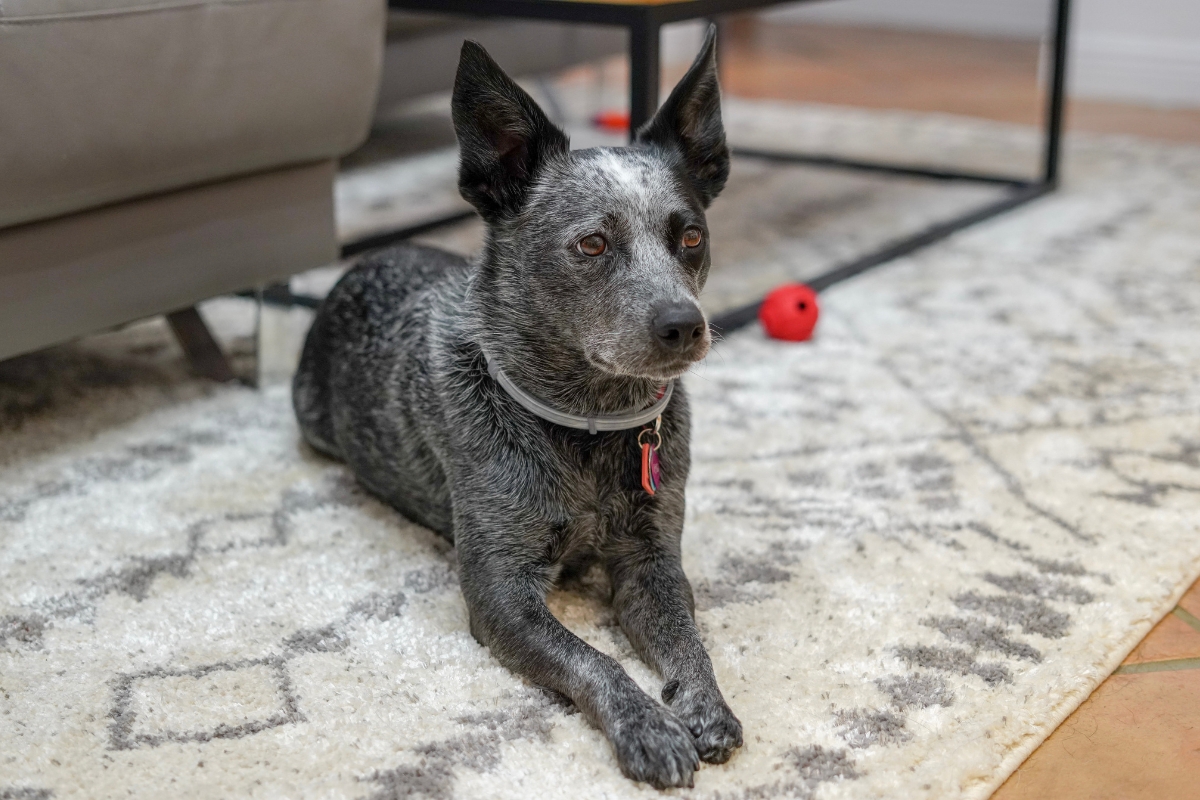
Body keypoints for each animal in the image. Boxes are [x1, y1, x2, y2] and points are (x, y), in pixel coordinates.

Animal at [292, 29, 739, 786]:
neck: (588, 424)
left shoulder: (650, 560)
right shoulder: (500, 593)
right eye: (592, 243)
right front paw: (650, 726)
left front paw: (706, 705)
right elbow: (595, 661)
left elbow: (689, 639)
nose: (685, 324)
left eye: (690, 236)